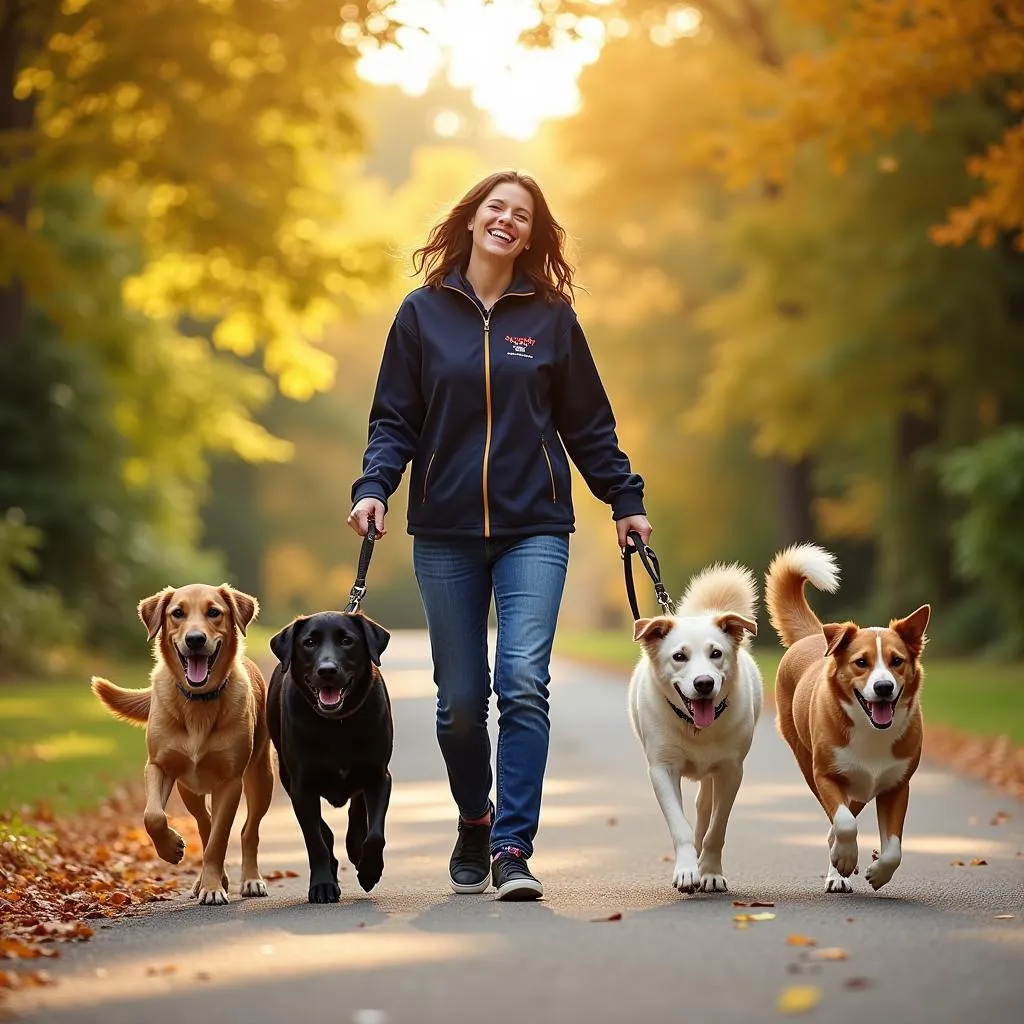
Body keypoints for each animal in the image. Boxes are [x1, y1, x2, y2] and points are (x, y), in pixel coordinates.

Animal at [91, 585, 272, 905]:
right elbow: (153, 816)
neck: (198, 703)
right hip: (189, 789)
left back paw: (250, 879)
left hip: (261, 778)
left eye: (214, 612)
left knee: (247, 831)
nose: (195, 639)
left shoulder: (231, 781)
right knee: (205, 822)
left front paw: (213, 888)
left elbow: (218, 841)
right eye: (177, 613)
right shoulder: (159, 766)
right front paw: (172, 848)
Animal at [266, 606, 393, 905]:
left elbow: (375, 834)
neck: (336, 725)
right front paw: (323, 884)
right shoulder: (301, 786)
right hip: (286, 776)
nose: (327, 670)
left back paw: (356, 849)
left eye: (347, 641)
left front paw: (369, 871)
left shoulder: (379, 776)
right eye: (309, 642)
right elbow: (316, 840)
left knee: (357, 810)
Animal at [626, 565, 765, 892]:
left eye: (716, 653)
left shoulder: (730, 771)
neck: (696, 728)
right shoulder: (662, 769)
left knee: (704, 807)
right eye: (679, 656)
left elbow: (717, 828)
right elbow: (681, 826)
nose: (704, 683)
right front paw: (687, 870)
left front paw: (710, 872)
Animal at [770, 548, 929, 892]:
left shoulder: (897, 786)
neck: (871, 732)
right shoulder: (827, 775)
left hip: (860, 788)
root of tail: (815, 635)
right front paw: (843, 859)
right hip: (806, 761)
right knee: (839, 819)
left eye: (897, 661)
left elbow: (894, 848)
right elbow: (843, 823)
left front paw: (879, 872)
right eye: (861, 662)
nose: (883, 688)